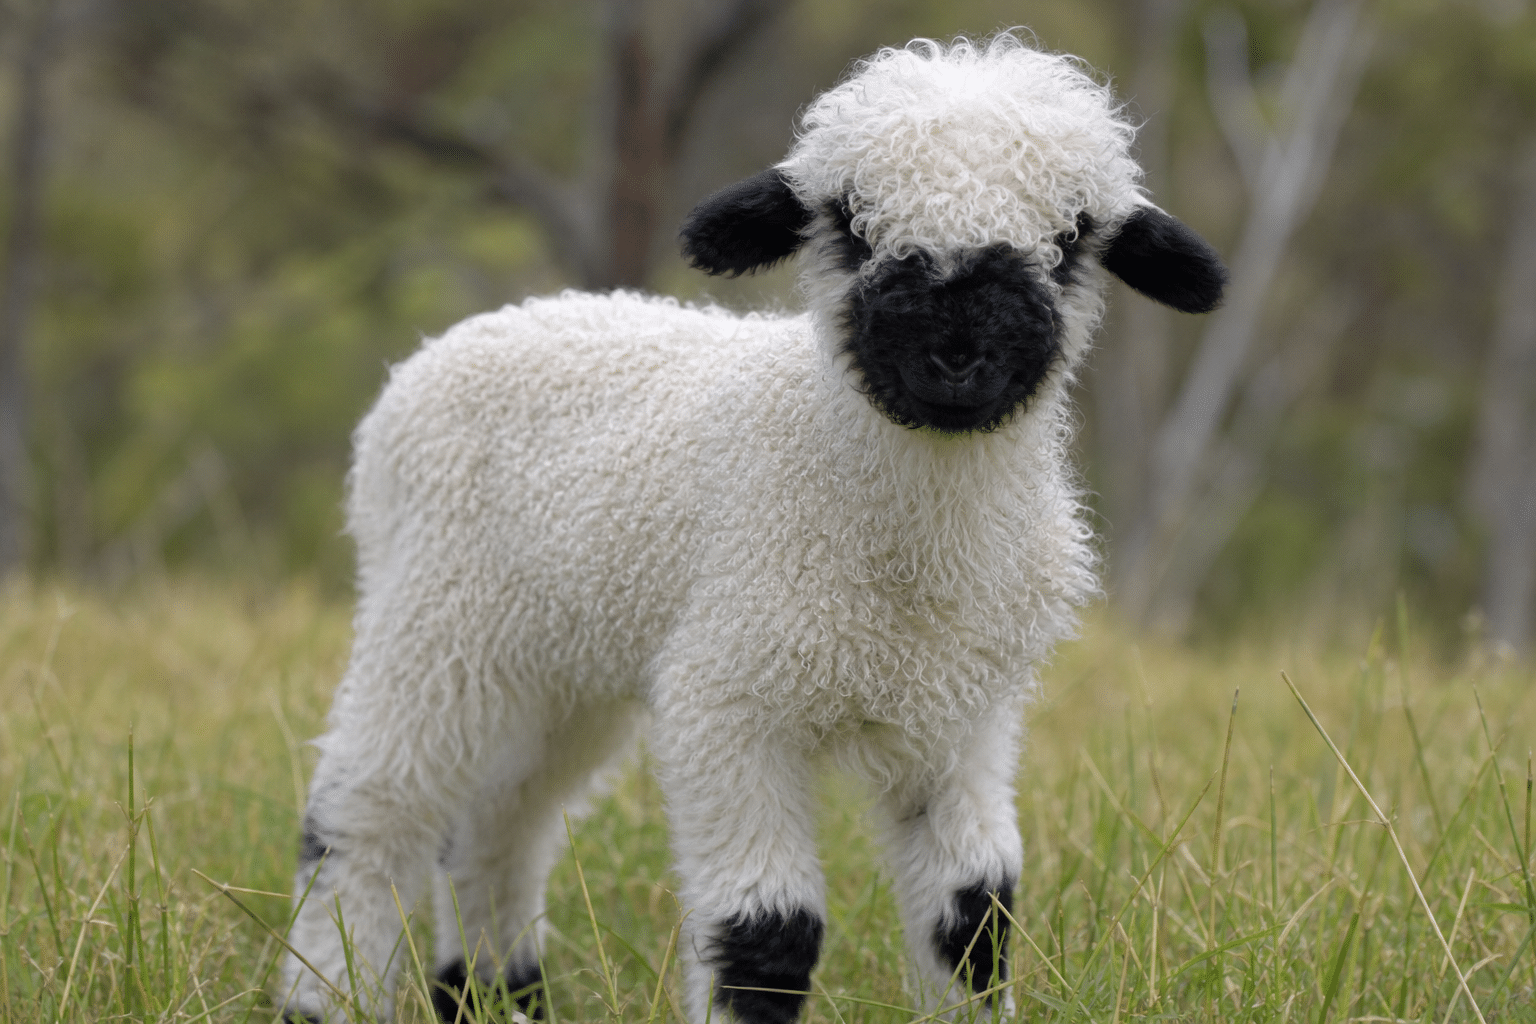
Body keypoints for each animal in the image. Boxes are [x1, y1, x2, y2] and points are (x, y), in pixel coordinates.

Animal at [278, 32, 1226, 1024]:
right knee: (366, 814)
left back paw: (495, 996)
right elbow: (768, 933)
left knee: (501, 822)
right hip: (436, 616)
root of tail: (467, 335)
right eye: (850, 224)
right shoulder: (729, 700)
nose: (957, 353)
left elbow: (976, 918)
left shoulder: (964, 715)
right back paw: (325, 995)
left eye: (1073, 236)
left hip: (565, 660)